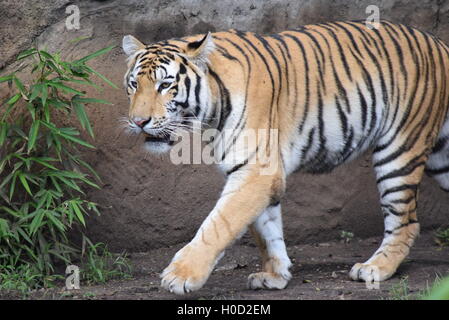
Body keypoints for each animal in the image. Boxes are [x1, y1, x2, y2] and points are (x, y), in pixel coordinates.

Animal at [121, 20, 448, 296]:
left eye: (165, 85)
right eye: (134, 84)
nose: (138, 121)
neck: (212, 108)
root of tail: (439, 44)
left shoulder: (256, 170)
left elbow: (220, 223)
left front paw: (180, 275)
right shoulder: (254, 171)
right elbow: (265, 229)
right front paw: (275, 275)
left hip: (399, 149)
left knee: (406, 221)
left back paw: (376, 268)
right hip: (440, 157)